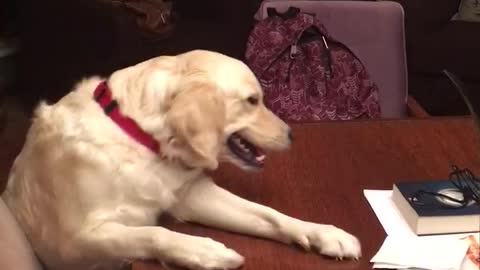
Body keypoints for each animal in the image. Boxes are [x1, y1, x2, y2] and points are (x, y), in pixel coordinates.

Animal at [0, 50, 360, 270]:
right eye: (252, 100)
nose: (291, 134)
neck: (140, 139)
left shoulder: (192, 195)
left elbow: (270, 215)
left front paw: (323, 233)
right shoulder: (73, 243)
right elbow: (153, 233)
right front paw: (207, 251)